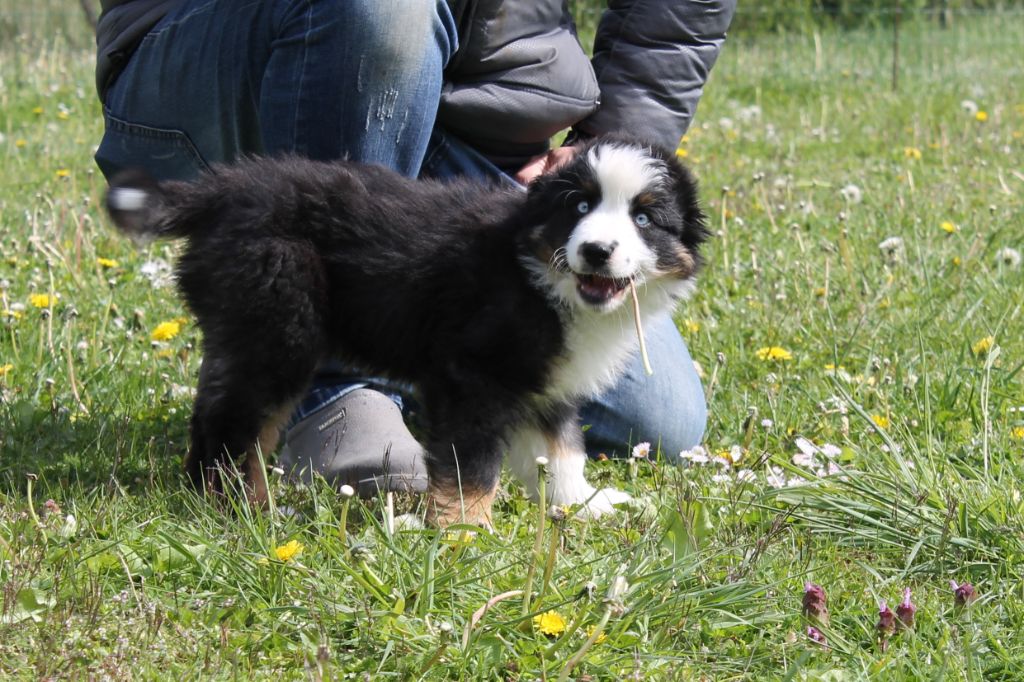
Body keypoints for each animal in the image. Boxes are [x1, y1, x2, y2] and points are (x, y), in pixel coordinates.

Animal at [108, 135, 708, 522]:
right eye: (579, 206)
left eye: (644, 218)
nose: (596, 251)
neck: (536, 276)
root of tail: (223, 190)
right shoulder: (471, 376)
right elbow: (472, 464)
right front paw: (465, 531)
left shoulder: (548, 383)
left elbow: (561, 449)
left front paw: (581, 503)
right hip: (277, 327)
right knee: (232, 423)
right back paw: (235, 508)